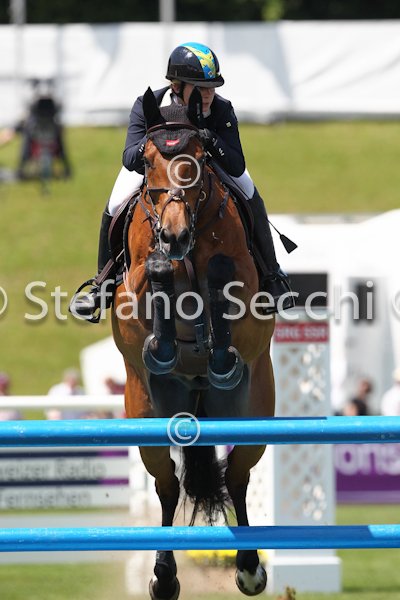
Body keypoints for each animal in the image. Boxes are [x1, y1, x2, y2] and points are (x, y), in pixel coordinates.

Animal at [111, 87, 275, 599]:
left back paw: (249, 568)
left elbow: (221, 273)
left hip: (252, 410)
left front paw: (221, 353)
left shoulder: (242, 282)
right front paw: (163, 347)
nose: (175, 234)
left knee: (239, 477)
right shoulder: (133, 286)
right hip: (147, 411)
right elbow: (157, 269)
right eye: (146, 160)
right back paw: (164, 577)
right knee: (167, 487)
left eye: (201, 159)